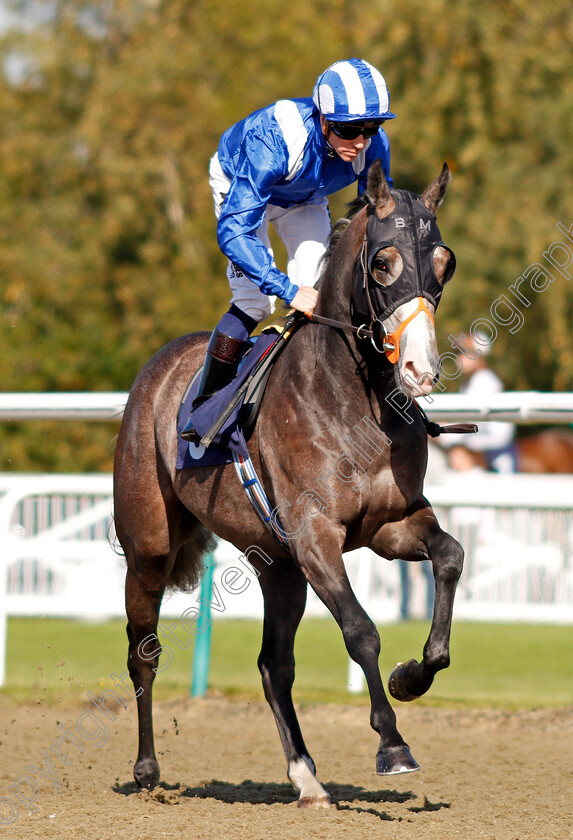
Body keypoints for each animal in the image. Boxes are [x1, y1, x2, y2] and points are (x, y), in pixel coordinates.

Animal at [114, 158, 462, 808]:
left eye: (444, 264)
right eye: (383, 262)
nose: (420, 369)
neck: (354, 397)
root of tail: (161, 365)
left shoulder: (390, 525)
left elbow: (450, 557)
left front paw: (413, 676)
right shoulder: (315, 534)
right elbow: (361, 630)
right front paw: (392, 744)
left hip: (277, 565)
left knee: (273, 663)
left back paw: (306, 776)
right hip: (149, 546)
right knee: (143, 649)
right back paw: (147, 770)